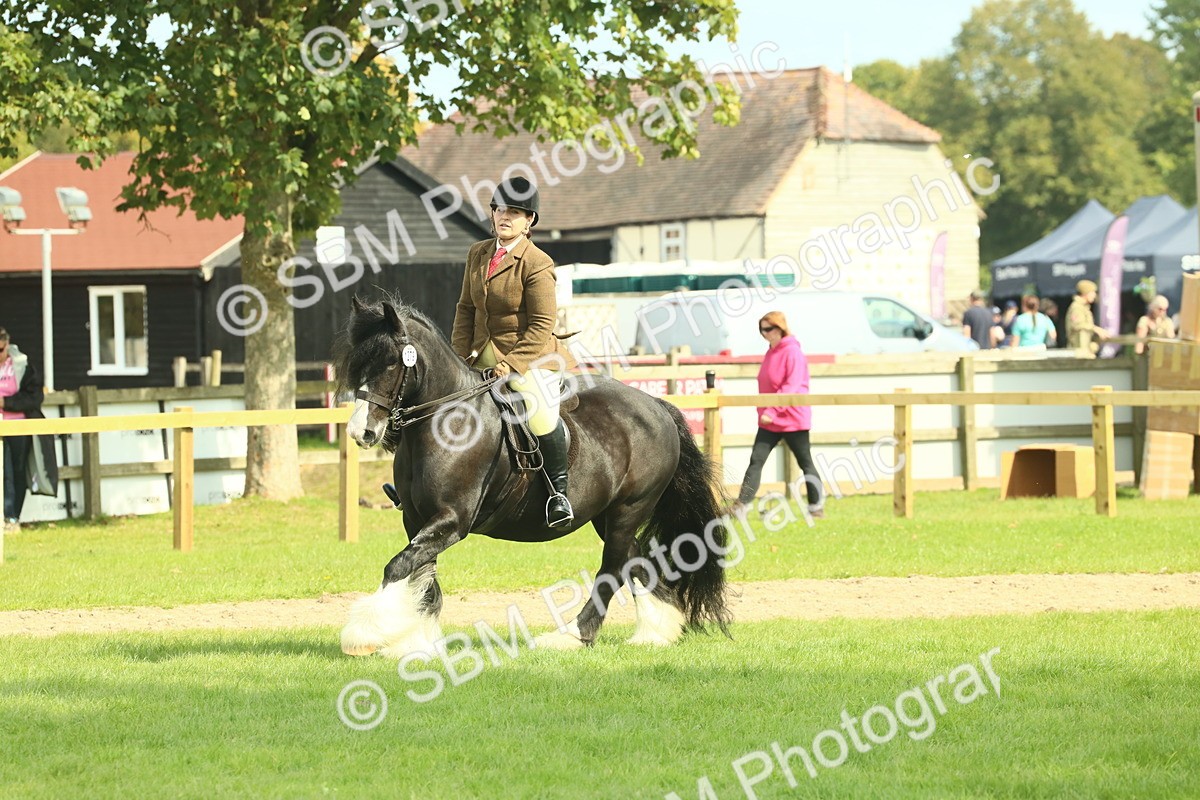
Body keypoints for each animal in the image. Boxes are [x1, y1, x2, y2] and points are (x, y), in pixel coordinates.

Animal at [333, 296, 731, 657]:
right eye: (356, 364)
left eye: (390, 363)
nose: (361, 432)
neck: (447, 421)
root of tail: (657, 406)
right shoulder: (417, 520)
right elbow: (422, 577)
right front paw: (418, 642)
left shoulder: (452, 520)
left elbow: (399, 565)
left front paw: (365, 634)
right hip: (608, 515)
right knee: (635, 560)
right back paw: (657, 631)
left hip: (629, 508)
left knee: (613, 568)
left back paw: (572, 636)